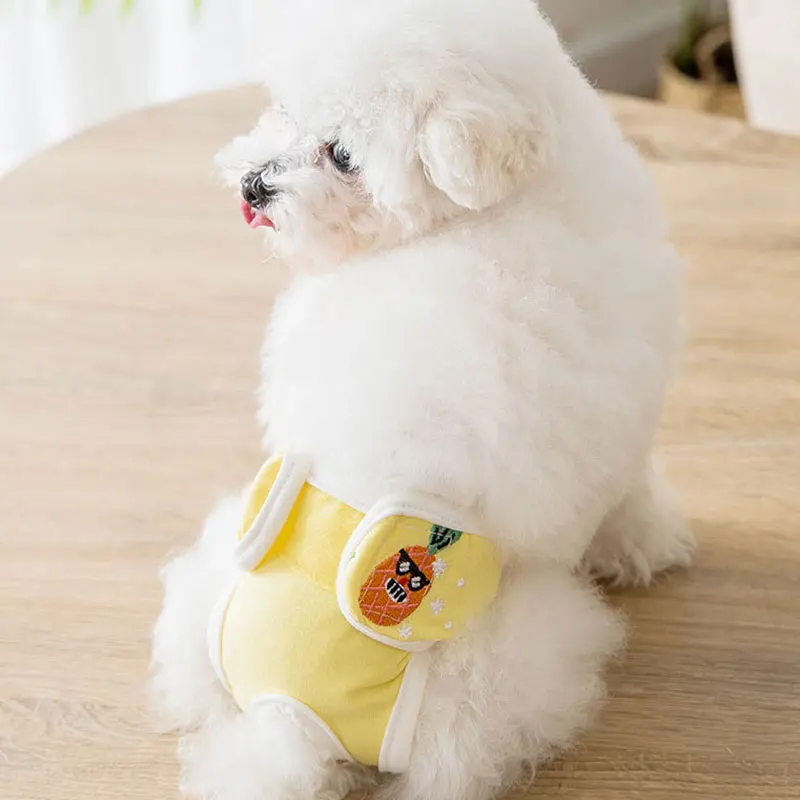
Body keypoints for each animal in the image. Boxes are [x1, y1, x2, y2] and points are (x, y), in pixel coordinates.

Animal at [151, 2, 695, 799]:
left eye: (343, 156)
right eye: (285, 108)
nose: (254, 185)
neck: (489, 209)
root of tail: (285, 714)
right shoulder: (620, 427)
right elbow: (628, 499)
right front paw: (648, 541)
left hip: (203, 594)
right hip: (516, 661)